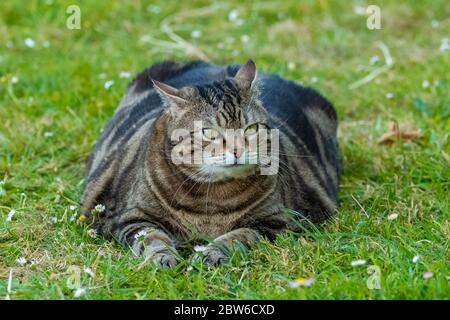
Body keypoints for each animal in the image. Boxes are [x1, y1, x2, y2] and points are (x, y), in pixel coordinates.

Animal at [81, 59, 342, 268]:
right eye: (209, 132)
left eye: (252, 129)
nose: (238, 150)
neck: (211, 200)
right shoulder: (131, 217)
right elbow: (152, 238)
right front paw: (163, 257)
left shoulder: (278, 221)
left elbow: (240, 235)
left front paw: (213, 252)